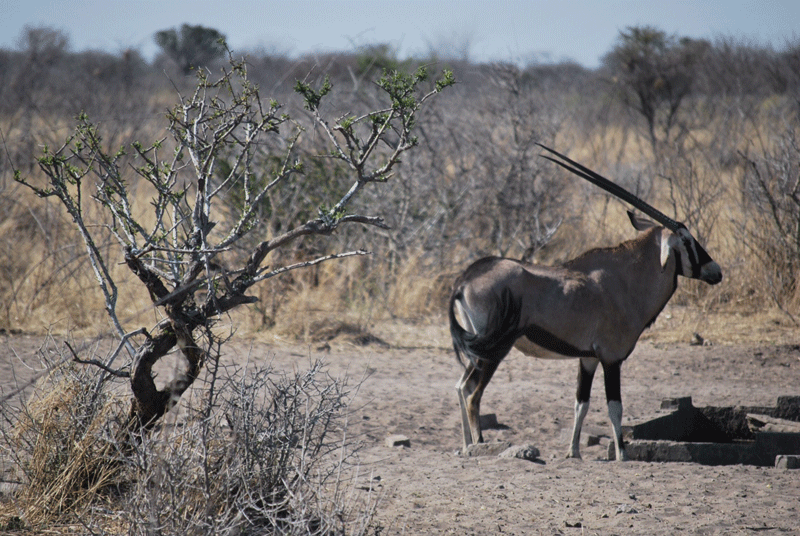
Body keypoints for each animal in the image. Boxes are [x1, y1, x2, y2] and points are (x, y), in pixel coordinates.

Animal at [450, 145, 722, 461]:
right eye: (688, 241)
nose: (716, 271)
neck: (626, 278)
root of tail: (464, 280)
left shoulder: (588, 358)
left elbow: (581, 403)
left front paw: (574, 452)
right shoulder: (611, 358)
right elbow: (615, 407)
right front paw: (622, 455)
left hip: (478, 350)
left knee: (461, 386)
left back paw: (466, 446)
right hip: (493, 351)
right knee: (473, 395)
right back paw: (479, 445)